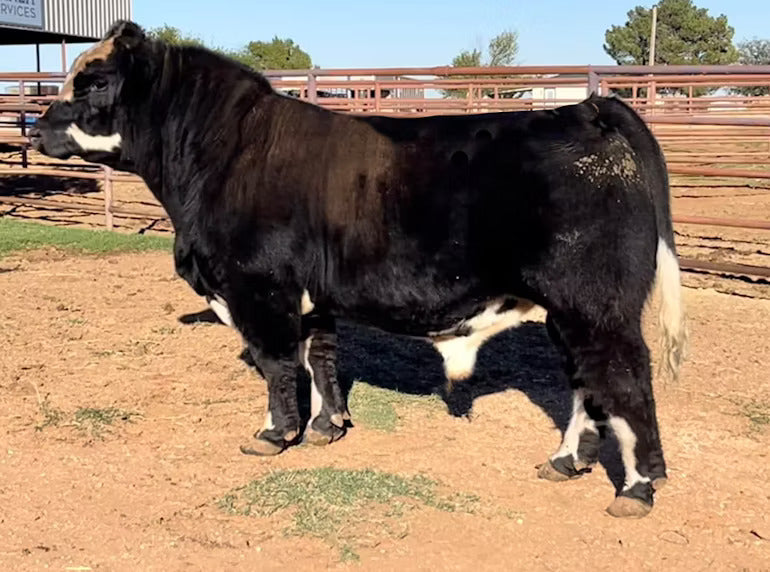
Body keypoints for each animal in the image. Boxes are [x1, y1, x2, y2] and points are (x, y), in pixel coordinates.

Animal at [29, 20, 687, 518]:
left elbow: (277, 363)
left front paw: (275, 435)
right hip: (569, 311)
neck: (221, 150)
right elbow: (320, 357)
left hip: (596, 306)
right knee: (586, 381)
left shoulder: (258, 287)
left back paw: (636, 488)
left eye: (95, 82)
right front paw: (327, 426)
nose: (34, 129)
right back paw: (566, 461)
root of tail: (586, 109)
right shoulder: (312, 296)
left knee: (625, 377)